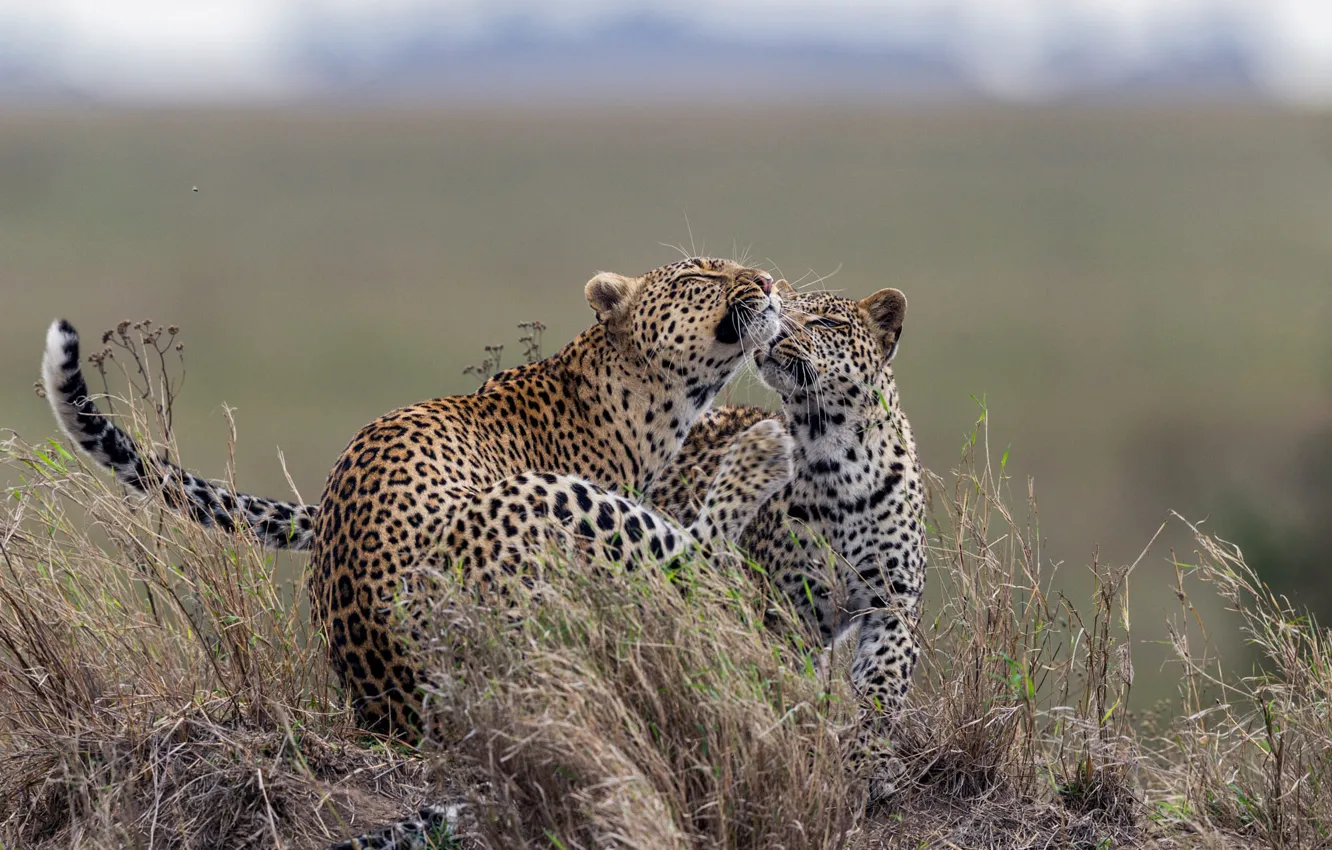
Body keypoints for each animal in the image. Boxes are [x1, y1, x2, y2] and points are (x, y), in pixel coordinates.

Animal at [39, 257, 790, 740]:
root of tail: (408, 704)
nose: (767, 282)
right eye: (699, 280)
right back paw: (763, 453)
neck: (643, 402)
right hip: (547, 509)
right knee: (699, 559)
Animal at [647, 284, 926, 800]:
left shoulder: (893, 598)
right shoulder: (781, 610)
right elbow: (780, 684)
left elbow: (883, 681)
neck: (839, 456)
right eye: (781, 315)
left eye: (825, 323)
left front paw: (868, 762)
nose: (774, 335)